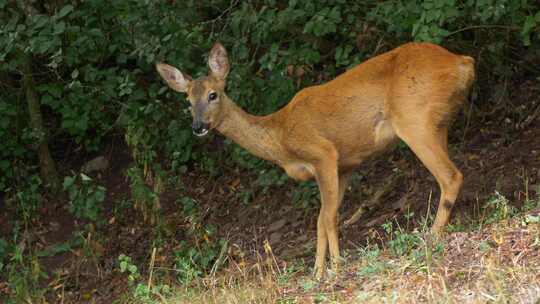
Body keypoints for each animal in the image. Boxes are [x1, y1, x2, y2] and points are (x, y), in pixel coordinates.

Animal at [155, 41, 472, 280]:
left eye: (213, 94)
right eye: (187, 102)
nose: (198, 126)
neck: (281, 137)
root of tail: (462, 62)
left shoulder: (323, 153)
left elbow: (327, 216)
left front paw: (336, 266)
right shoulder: (346, 165)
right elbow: (321, 218)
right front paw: (318, 271)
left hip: (415, 118)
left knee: (451, 175)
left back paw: (430, 237)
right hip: (438, 123)